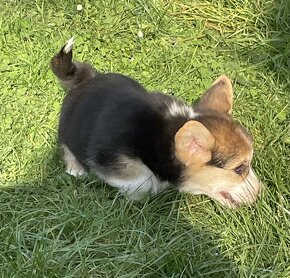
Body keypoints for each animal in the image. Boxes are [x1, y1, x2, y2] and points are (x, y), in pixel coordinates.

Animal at [51, 39, 262, 208]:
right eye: (239, 169)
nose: (259, 192)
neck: (167, 136)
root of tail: (86, 78)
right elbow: (139, 182)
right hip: (67, 129)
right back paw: (76, 169)